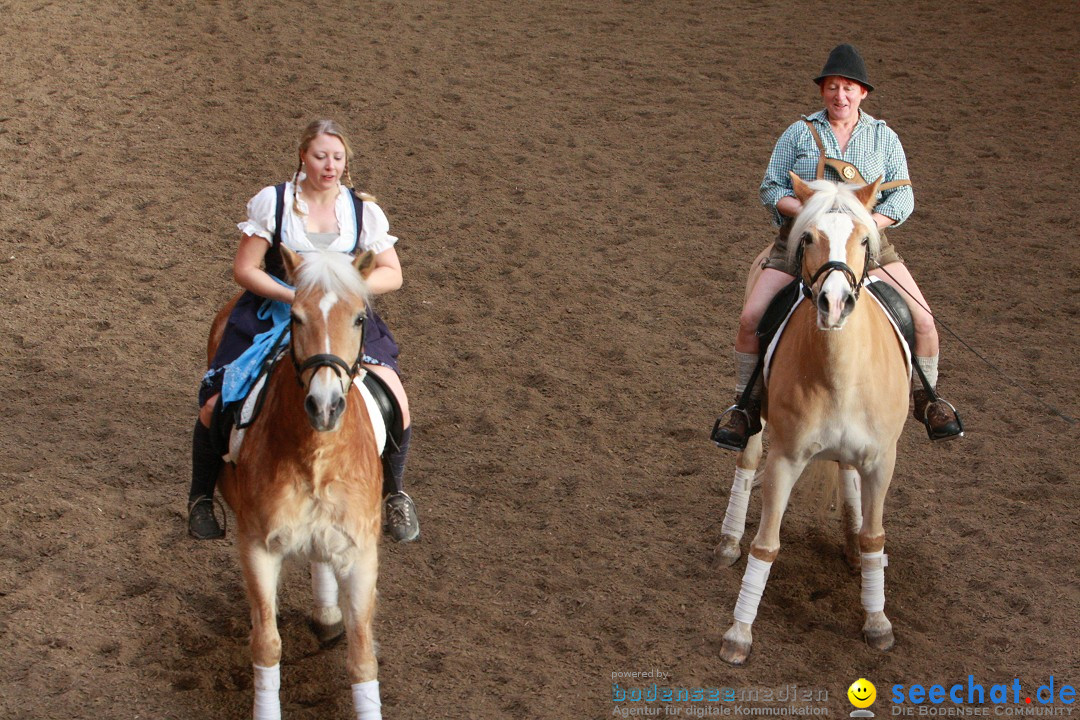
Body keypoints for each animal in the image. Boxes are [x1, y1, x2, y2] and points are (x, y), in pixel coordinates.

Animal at [206, 249, 384, 720]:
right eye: (297, 317)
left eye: (359, 318)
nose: (325, 405)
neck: (315, 460)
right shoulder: (257, 545)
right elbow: (267, 645)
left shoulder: (360, 552)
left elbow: (363, 657)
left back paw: (326, 613)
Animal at [717, 172, 911, 664]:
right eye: (807, 238)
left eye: (864, 239)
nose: (834, 302)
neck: (840, 374)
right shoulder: (785, 459)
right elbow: (766, 545)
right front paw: (739, 633)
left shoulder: (881, 461)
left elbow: (875, 537)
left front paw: (877, 621)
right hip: (754, 414)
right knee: (747, 460)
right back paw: (728, 541)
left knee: (845, 472)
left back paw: (851, 544)